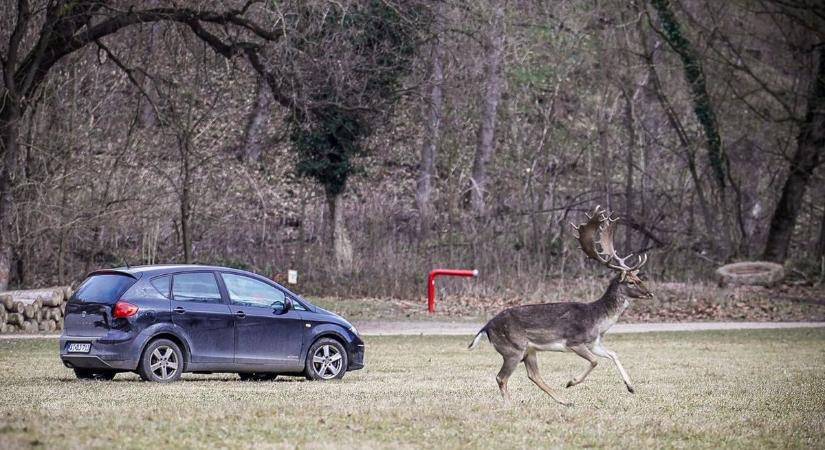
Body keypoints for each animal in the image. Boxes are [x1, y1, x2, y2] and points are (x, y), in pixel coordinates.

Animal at [470, 205, 652, 404]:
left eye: (639, 278)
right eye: (631, 282)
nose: (650, 293)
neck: (598, 320)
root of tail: (486, 327)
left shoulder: (594, 343)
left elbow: (613, 354)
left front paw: (631, 387)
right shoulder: (574, 341)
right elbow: (595, 361)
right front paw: (571, 382)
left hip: (529, 350)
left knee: (533, 375)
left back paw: (564, 401)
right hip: (513, 348)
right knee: (501, 377)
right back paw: (510, 404)